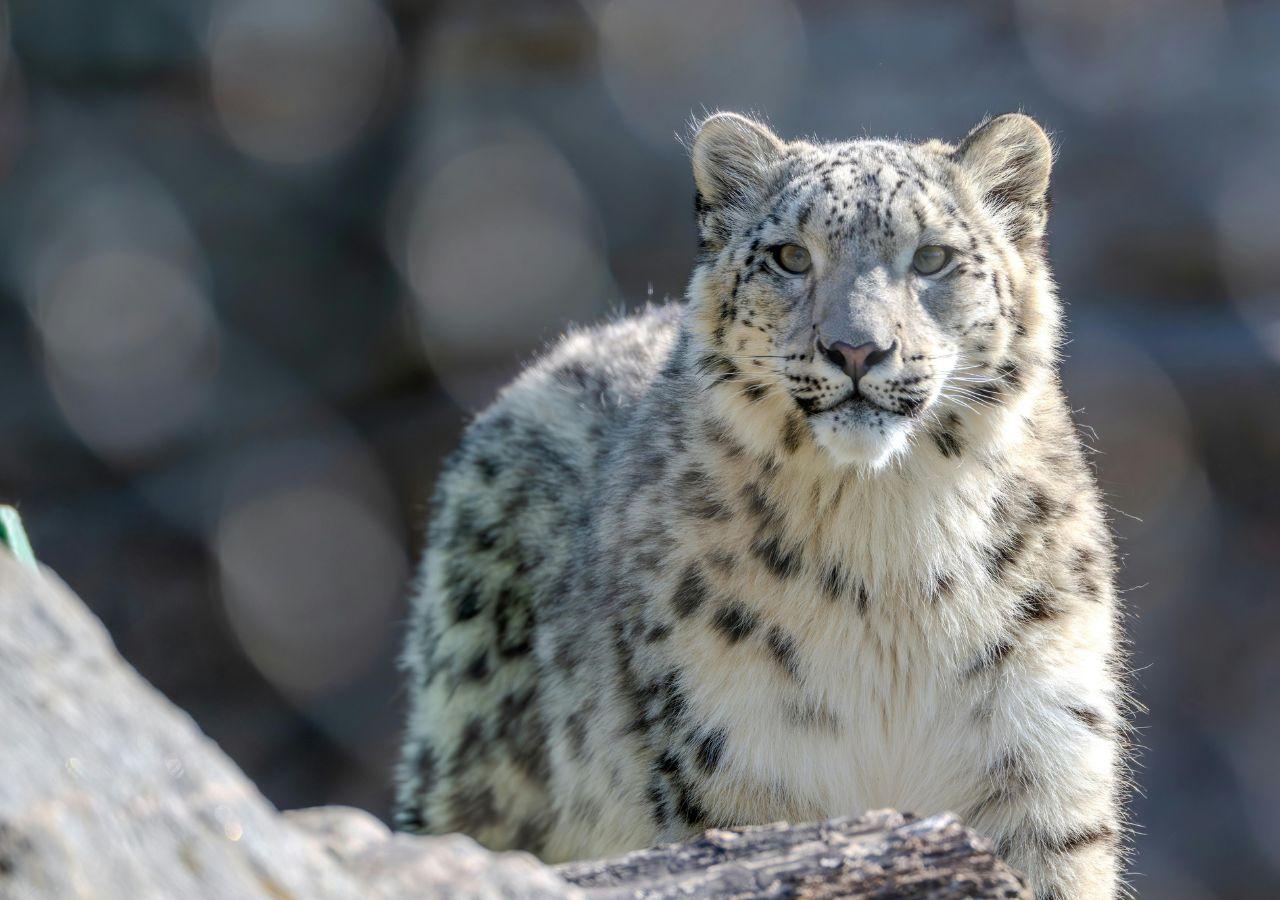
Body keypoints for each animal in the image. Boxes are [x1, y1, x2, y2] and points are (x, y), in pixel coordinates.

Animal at [394, 111, 1132, 900]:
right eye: (790, 256)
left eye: (933, 257)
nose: (856, 350)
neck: (890, 543)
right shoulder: (738, 747)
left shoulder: (1041, 741)